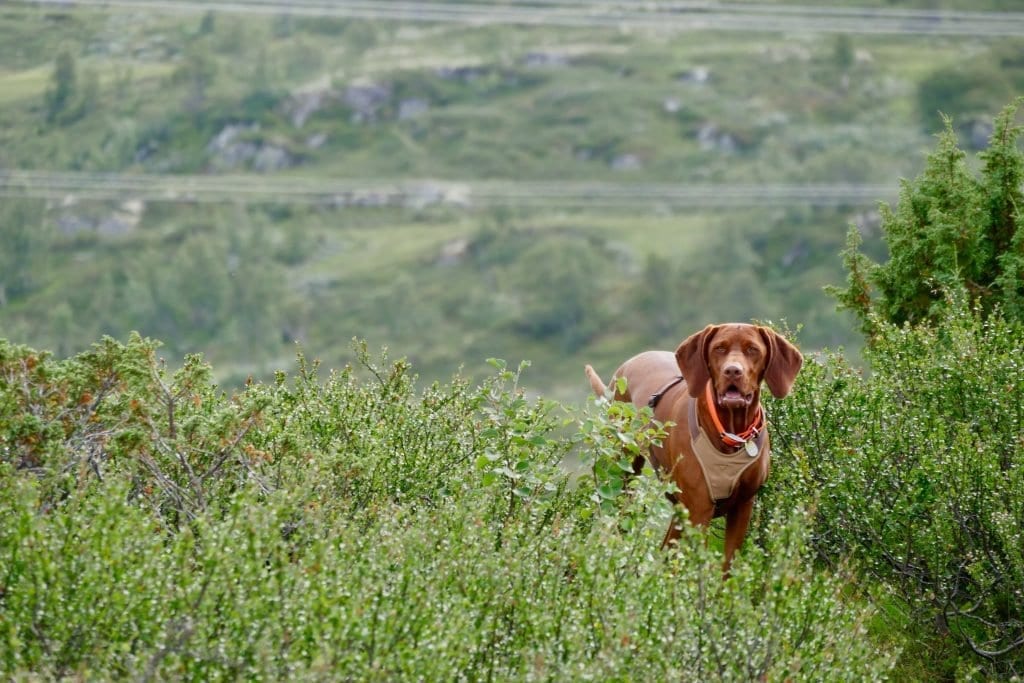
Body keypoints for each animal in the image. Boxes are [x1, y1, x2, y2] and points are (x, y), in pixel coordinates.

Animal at [585, 325, 798, 573]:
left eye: (753, 349)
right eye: (719, 348)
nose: (732, 371)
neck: (729, 432)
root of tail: (627, 364)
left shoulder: (742, 507)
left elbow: (727, 565)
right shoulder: (699, 508)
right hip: (623, 474)